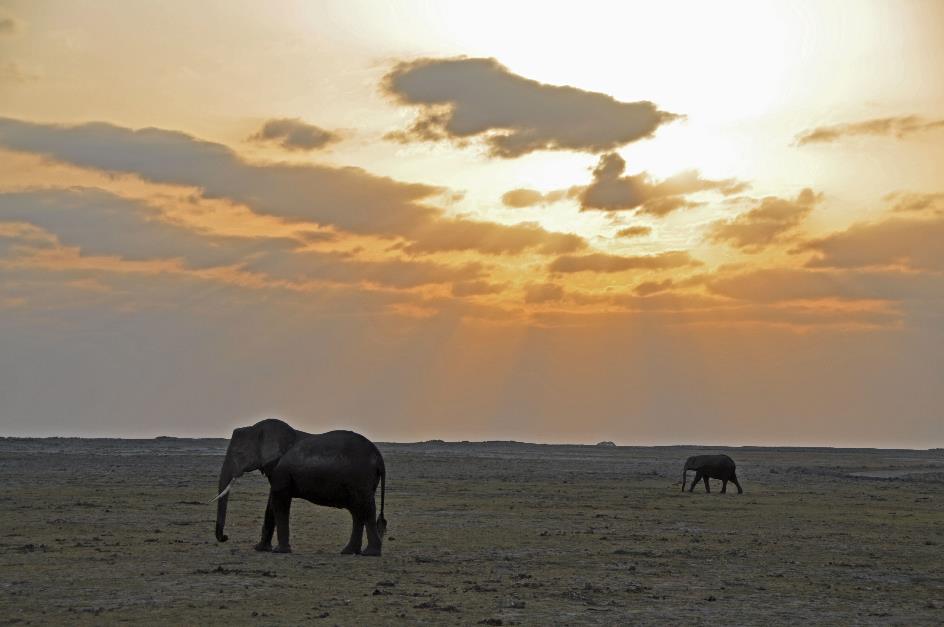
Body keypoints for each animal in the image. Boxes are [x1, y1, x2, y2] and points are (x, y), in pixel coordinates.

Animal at [213, 420, 388, 556]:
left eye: (239, 454)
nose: (225, 537)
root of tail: (379, 457)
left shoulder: (280, 470)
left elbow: (280, 502)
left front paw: (280, 551)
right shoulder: (276, 472)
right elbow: (271, 504)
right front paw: (260, 549)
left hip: (361, 478)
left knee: (366, 509)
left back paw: (370, 553)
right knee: (357, 511)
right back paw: (349, 552)